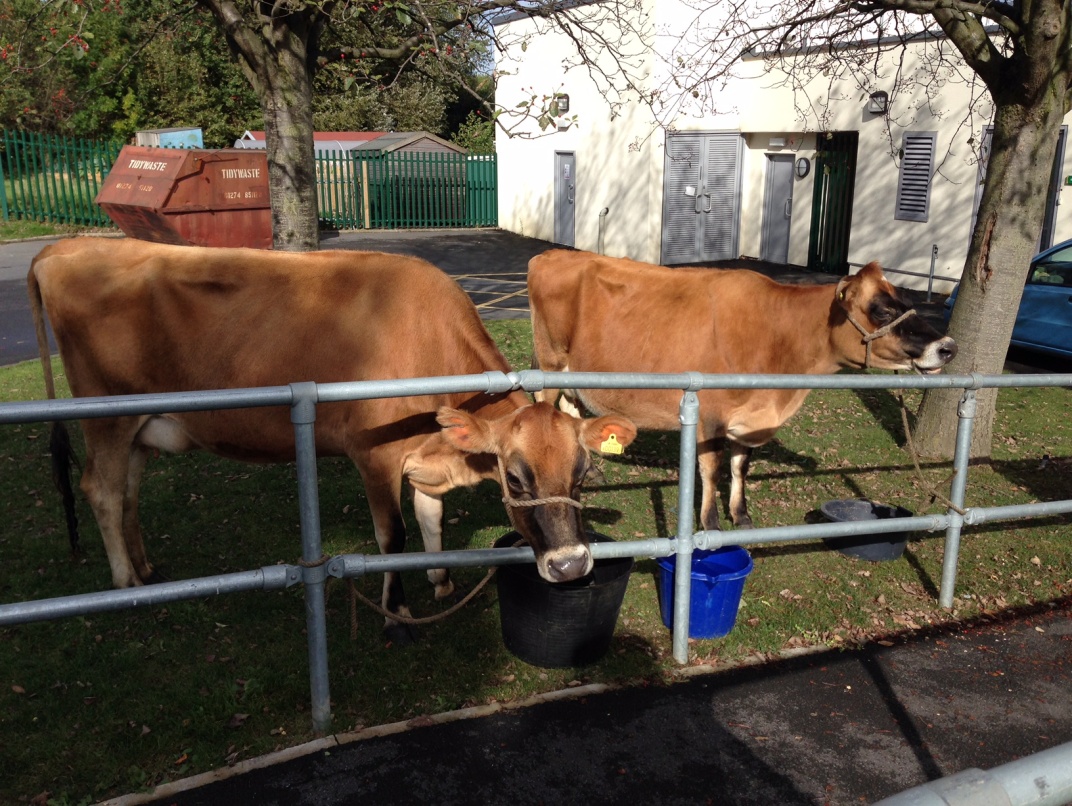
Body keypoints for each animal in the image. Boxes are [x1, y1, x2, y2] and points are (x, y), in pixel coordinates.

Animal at [29, 237, 634, 643]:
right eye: (515, 477)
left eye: (582, 473)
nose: (571, 565)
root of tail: (69, 246)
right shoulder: (373, 455)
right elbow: (392, 537)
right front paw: (398, 613)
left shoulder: (427, 457)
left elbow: (431, 517)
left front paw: (439, 580)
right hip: (106, 417)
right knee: (101, 489)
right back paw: (126, 584)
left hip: (137, 427)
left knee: (128, 491)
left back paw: (147, 570)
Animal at [527, 248, 956, 531]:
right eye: (881, 309)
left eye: (904, 298)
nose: (947, 346)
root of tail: (550, 255)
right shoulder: (709, 415)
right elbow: (712, 468)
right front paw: (711, 523)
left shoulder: (751, 419)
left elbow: (739, 467)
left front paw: (742, 515)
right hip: (551, 361)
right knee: (548, 404)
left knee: (571, 407)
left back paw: (592, 468)